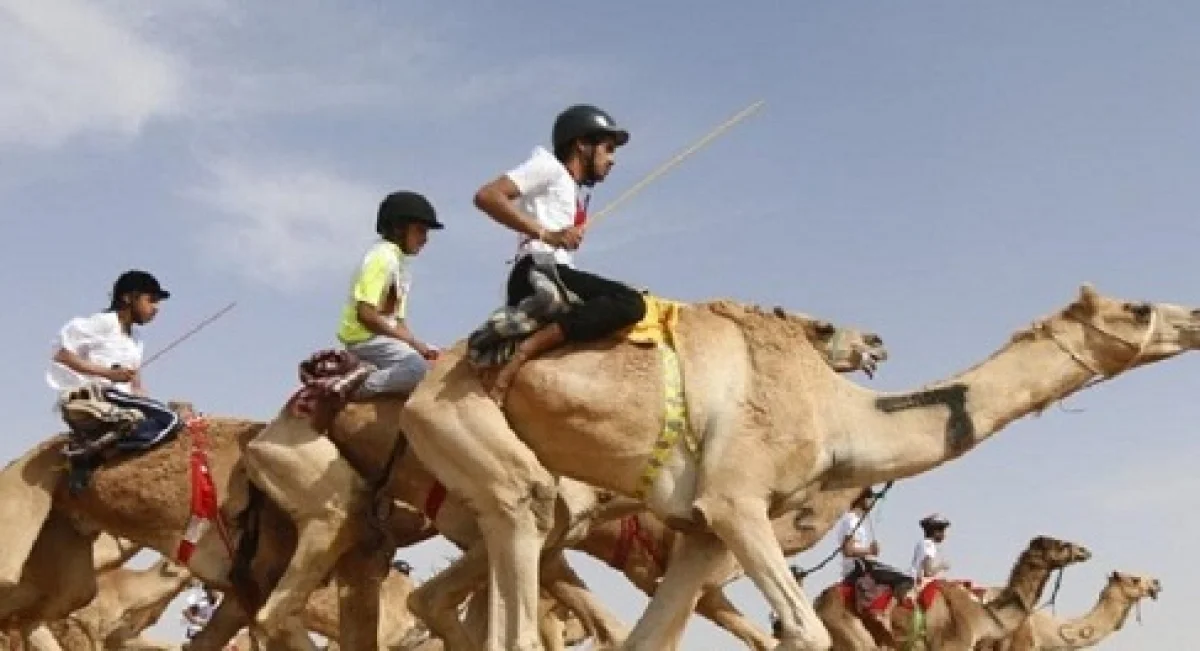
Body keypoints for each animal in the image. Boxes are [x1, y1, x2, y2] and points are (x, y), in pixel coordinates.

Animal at [238, 307, 888, 651]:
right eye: (822, 328)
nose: (875, 342)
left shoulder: (536, 539)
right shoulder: (532, 529)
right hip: (308, 475)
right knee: (292, 585)